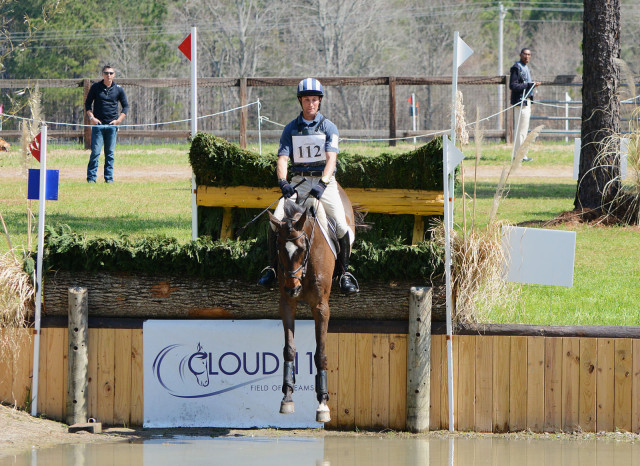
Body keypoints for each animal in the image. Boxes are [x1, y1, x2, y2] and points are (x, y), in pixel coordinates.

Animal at [264, 187, 356, 422]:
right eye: (278, 248)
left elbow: (321, 353)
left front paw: (323, 403)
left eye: (302, 248)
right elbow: (289, 349)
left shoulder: (321, 307)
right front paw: (287, 397)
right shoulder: (287, 305)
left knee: (343, 232)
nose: (292, 288)